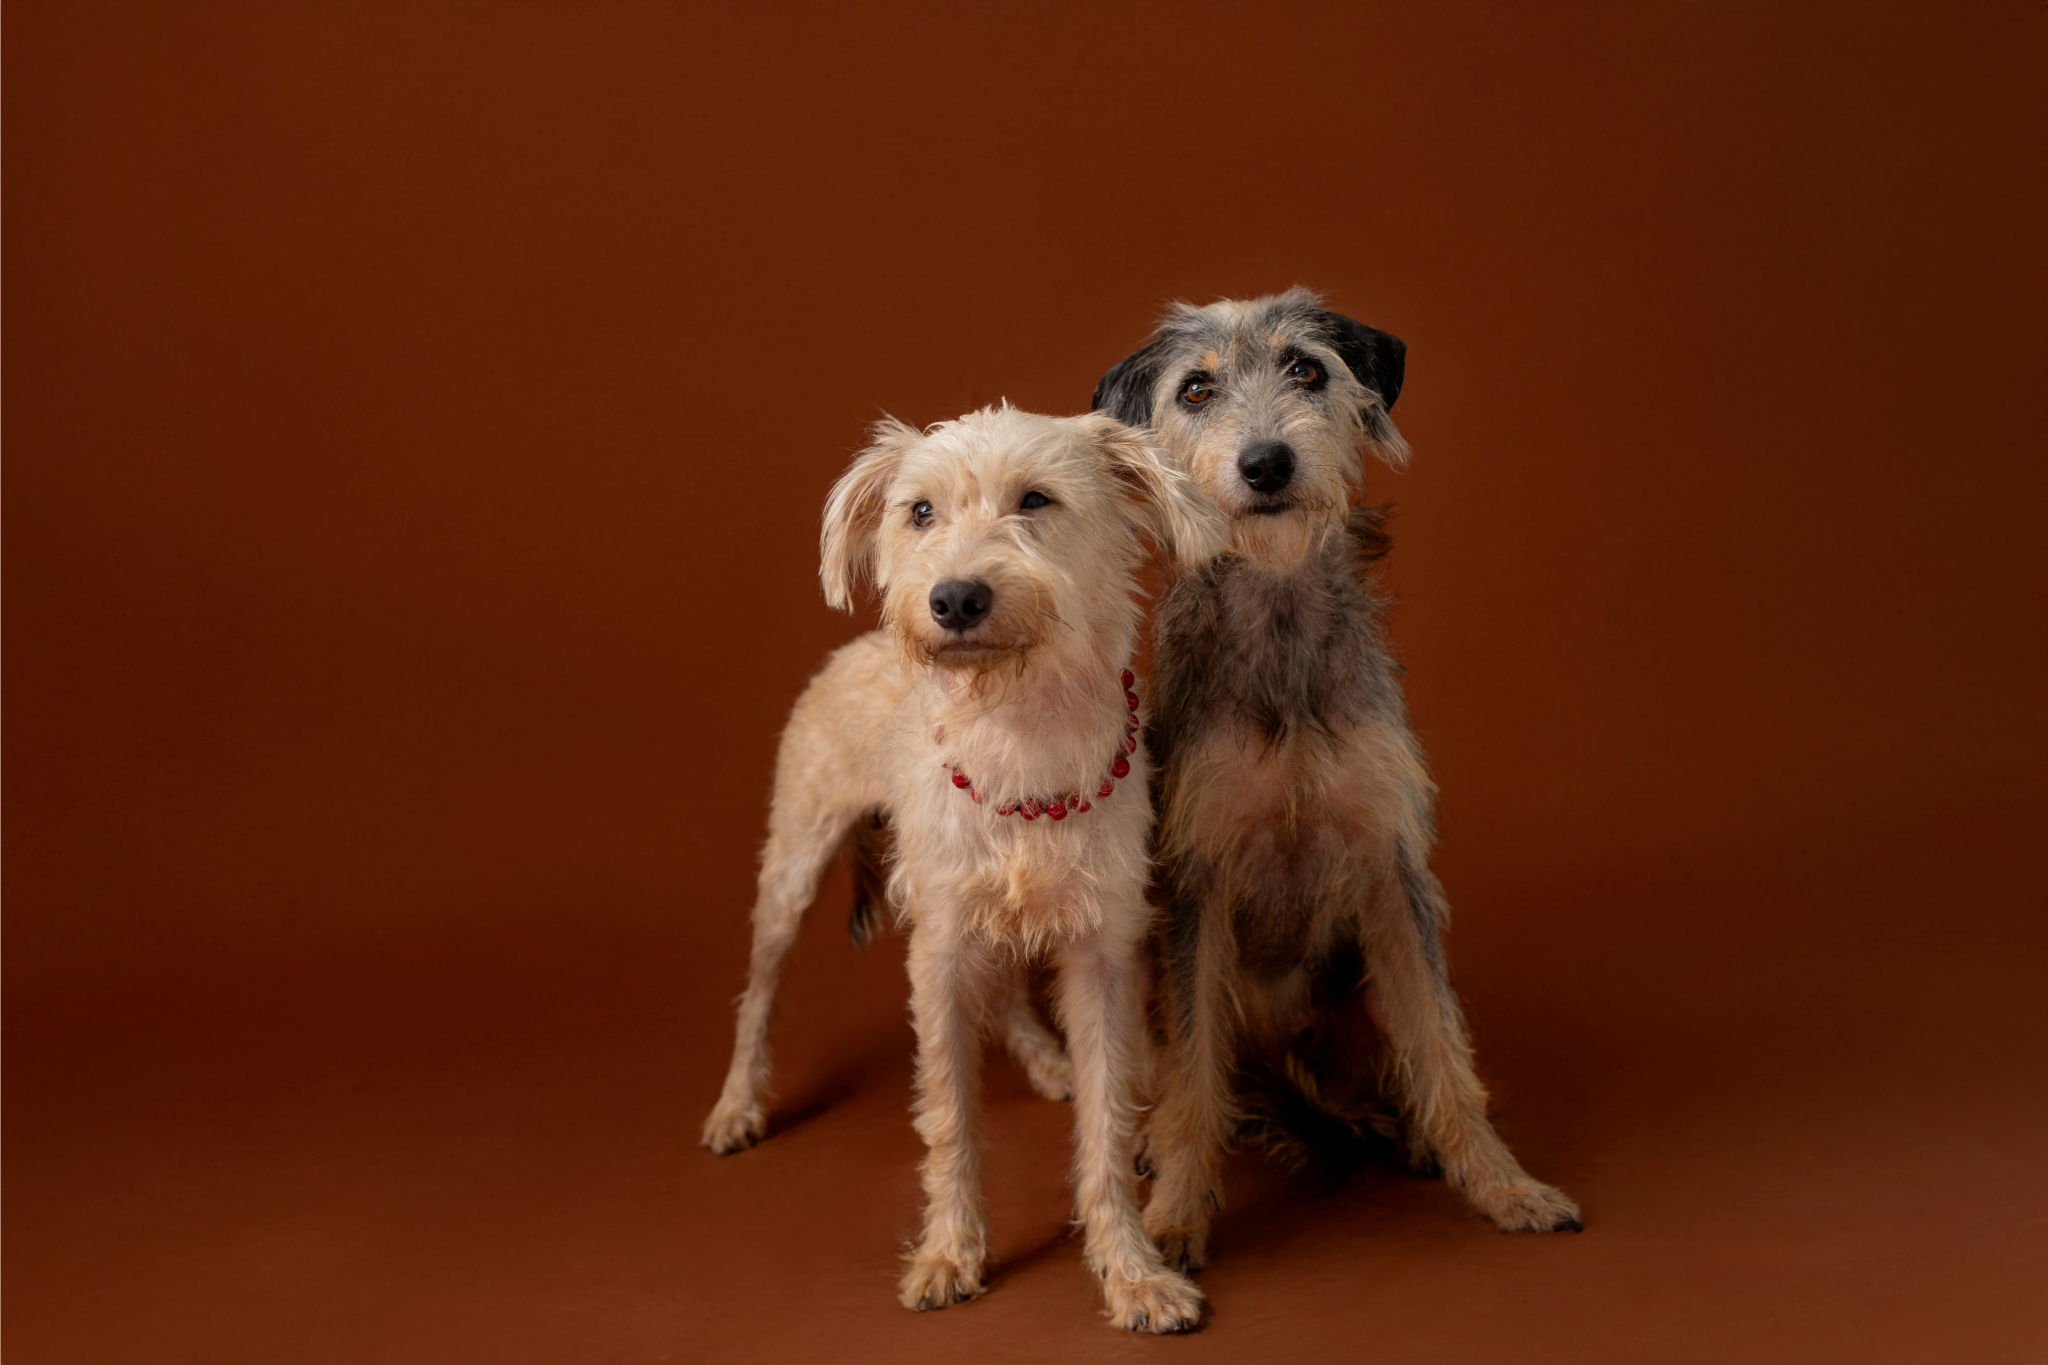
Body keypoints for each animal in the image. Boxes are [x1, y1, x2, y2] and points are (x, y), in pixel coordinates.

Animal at [703, 405, 1226, 1330]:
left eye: (1036, 499)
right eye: (919, 511)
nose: (953, 598)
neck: (1016, 723)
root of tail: (856, 647)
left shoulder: (1101, 952)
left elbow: (1108, 1117)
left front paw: (1131, 1269)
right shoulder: (939, 953)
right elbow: (949, 1116)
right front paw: (951, 1252)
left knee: (1010, 988)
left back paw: (1048, 1062)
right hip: (792, 871)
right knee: (759, 991)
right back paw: (738, 1105)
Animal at [1093, 289, 1581, 1272]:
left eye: (1306, 369)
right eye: (1196, 389)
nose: (1267, 462)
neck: (1281, 613)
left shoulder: (1393, 871)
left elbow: (1443, 1047)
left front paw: (1502, 1183)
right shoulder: (1197, 884)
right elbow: (1193, 1072)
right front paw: (1175, 1215)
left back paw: (1404, 1132)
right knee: (1182, 1074)